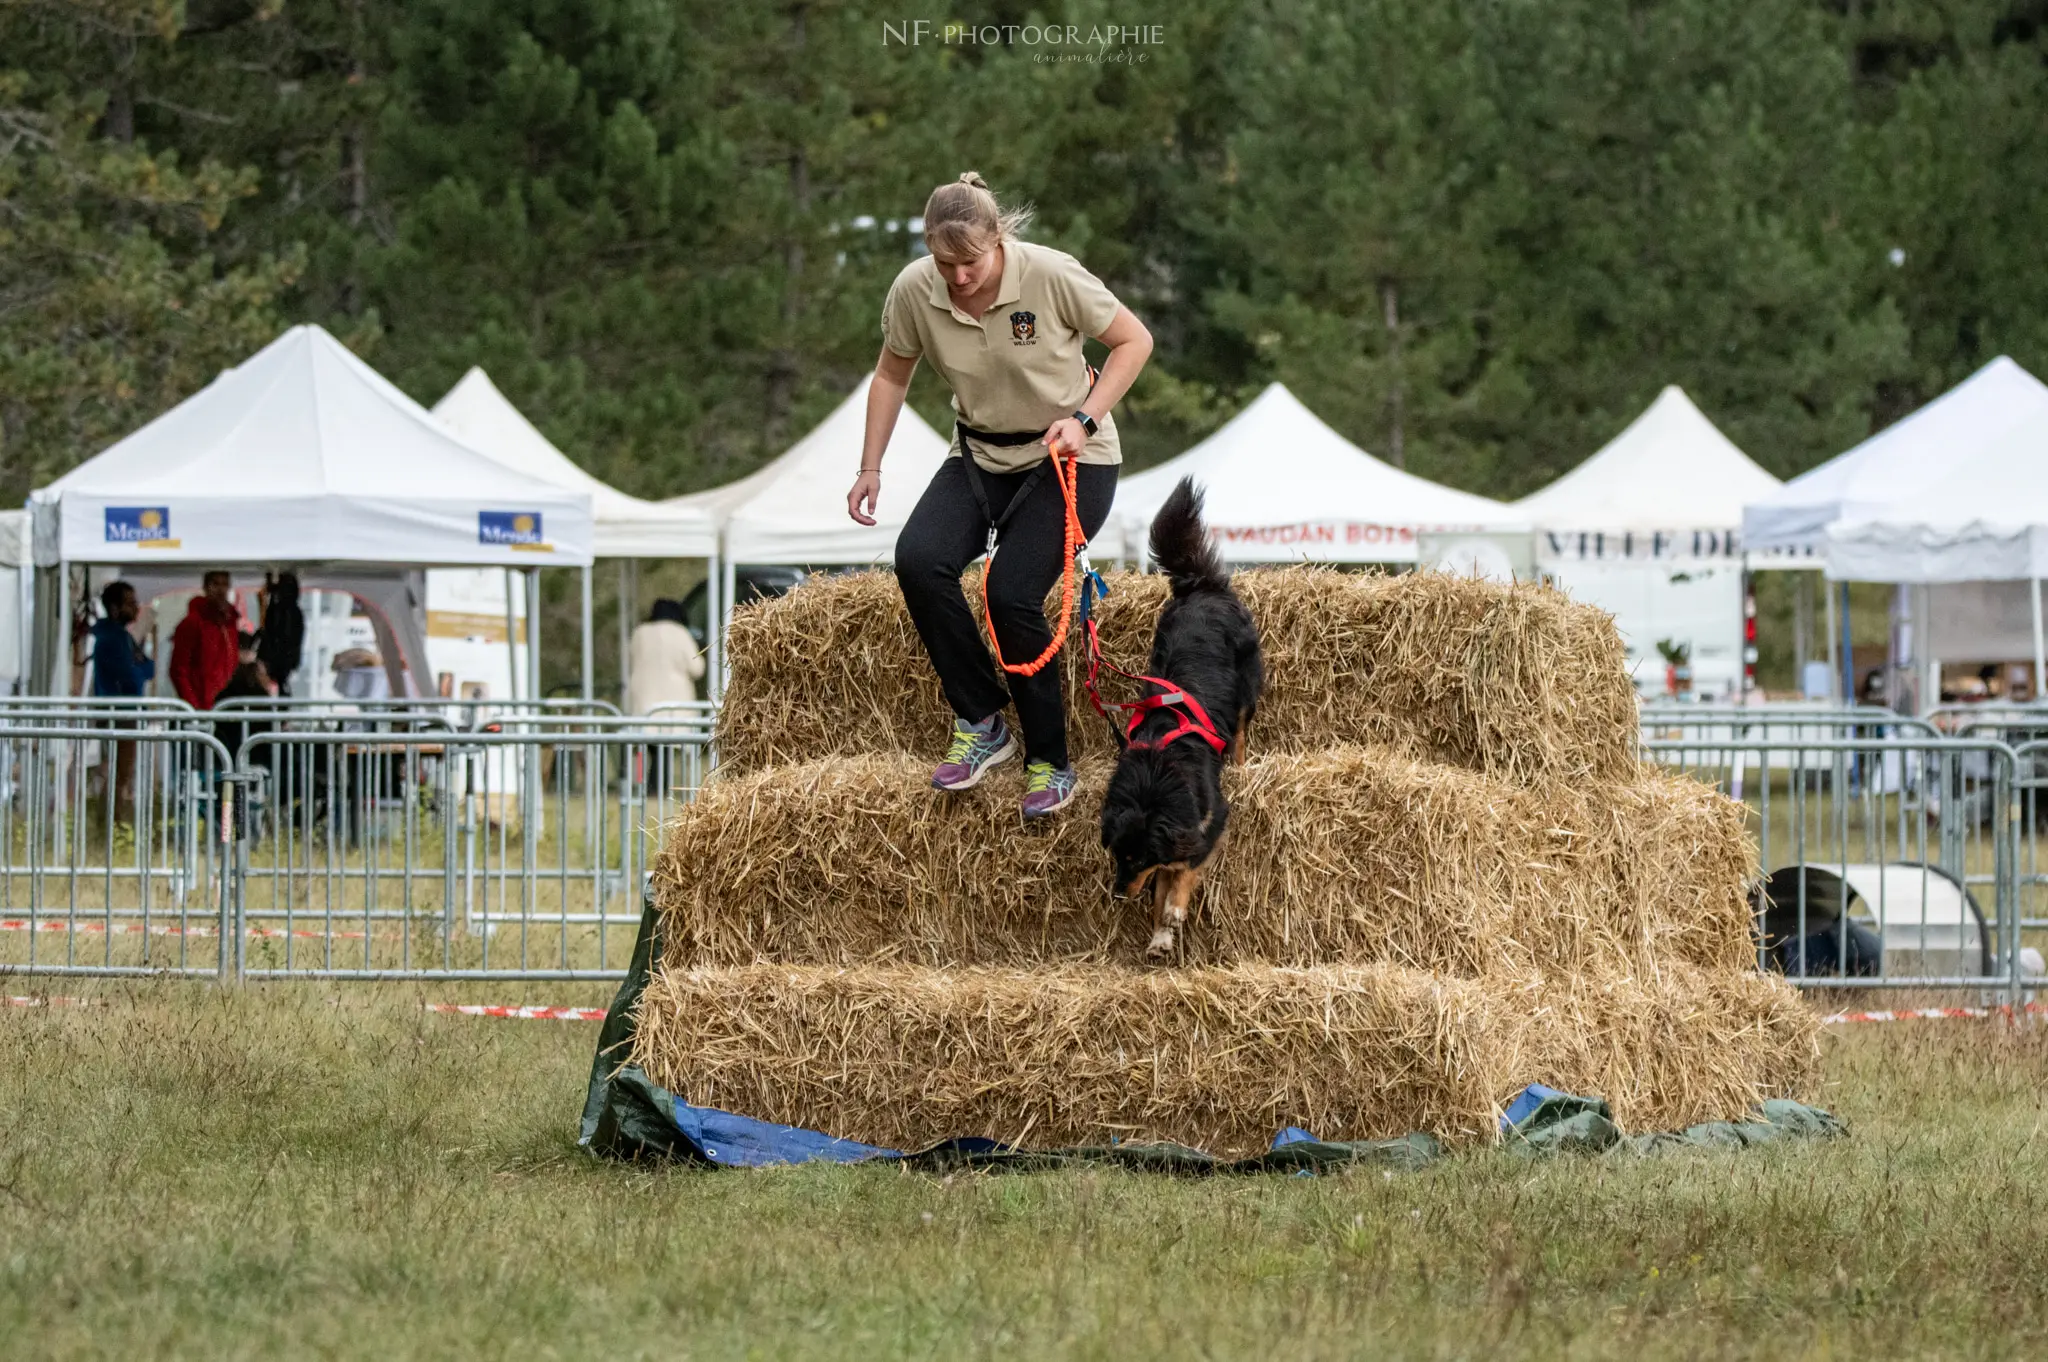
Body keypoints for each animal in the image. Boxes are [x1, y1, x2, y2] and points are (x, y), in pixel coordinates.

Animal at [1105, 477, 1261, 954]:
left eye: (1136, 856)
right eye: (1116, 855)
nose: (1117, 895)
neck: (1153, 781)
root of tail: (1200, 587)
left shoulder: (1209, 820)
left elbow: (1184, 870)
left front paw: (1173, 913)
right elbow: (1162, 882)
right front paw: (1159, 933)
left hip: (1247, 684)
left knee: (1242, 727)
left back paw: (1241, 761)